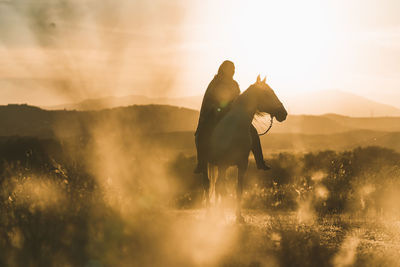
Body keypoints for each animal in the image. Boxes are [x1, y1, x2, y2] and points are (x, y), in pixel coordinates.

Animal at [203, 75, 288, 222]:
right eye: (267, 93)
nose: (284, 113)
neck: (235, 129)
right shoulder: (223, 164)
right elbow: (222, 189)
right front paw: (223, 217)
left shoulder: (242, 164)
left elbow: (239, 190)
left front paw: (239, 216)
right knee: (208, 185)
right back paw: (210, 214)